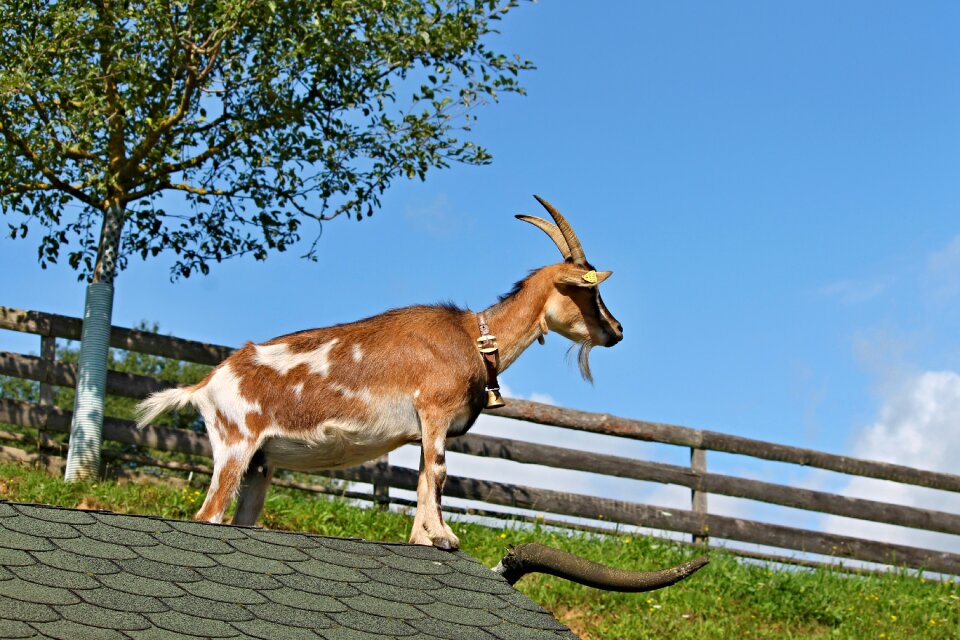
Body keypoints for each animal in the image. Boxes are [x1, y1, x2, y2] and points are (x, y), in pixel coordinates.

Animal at [137, 196, 624, 552]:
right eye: (591, 291)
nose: (616, 331)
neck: (472, 338)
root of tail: (208, 383)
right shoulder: (434, 409)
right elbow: (440, 472)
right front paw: (445, 536)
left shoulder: (428, 426)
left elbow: (425, 477)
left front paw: (423, 539)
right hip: (235, 443)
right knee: (208, 515)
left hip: (260, 463)